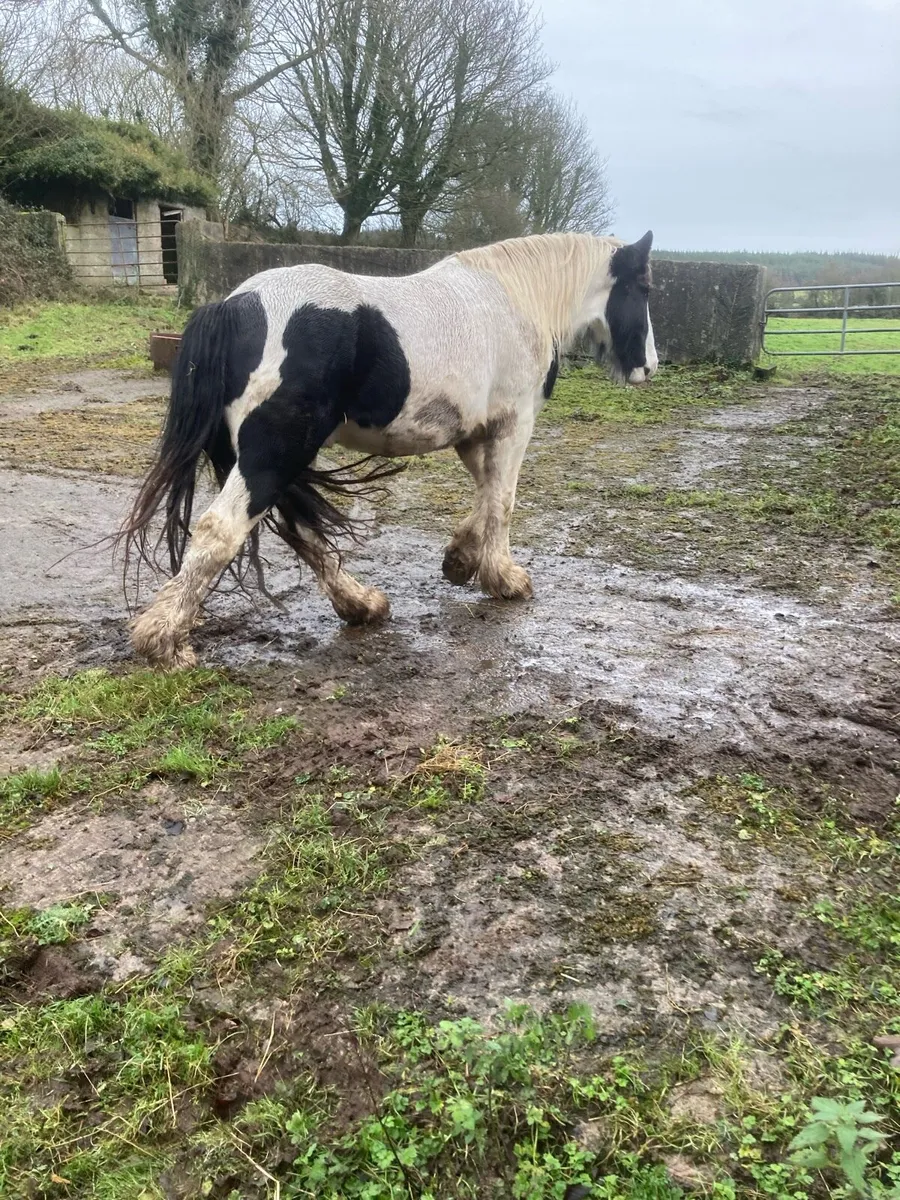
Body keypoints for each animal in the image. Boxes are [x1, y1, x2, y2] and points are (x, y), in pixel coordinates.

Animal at [123, 229, 658, 669]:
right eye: (643, 288)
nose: (649, 367)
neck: (515, 301)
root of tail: (234, 307)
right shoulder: (512, 425)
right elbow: (502, 501)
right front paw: (504, 579)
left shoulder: (473, 434)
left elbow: (485, 495)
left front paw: (461, 560)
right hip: (274, 451)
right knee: (223, 529)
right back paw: (164, 640)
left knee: (297, 528)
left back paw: (361, 605)